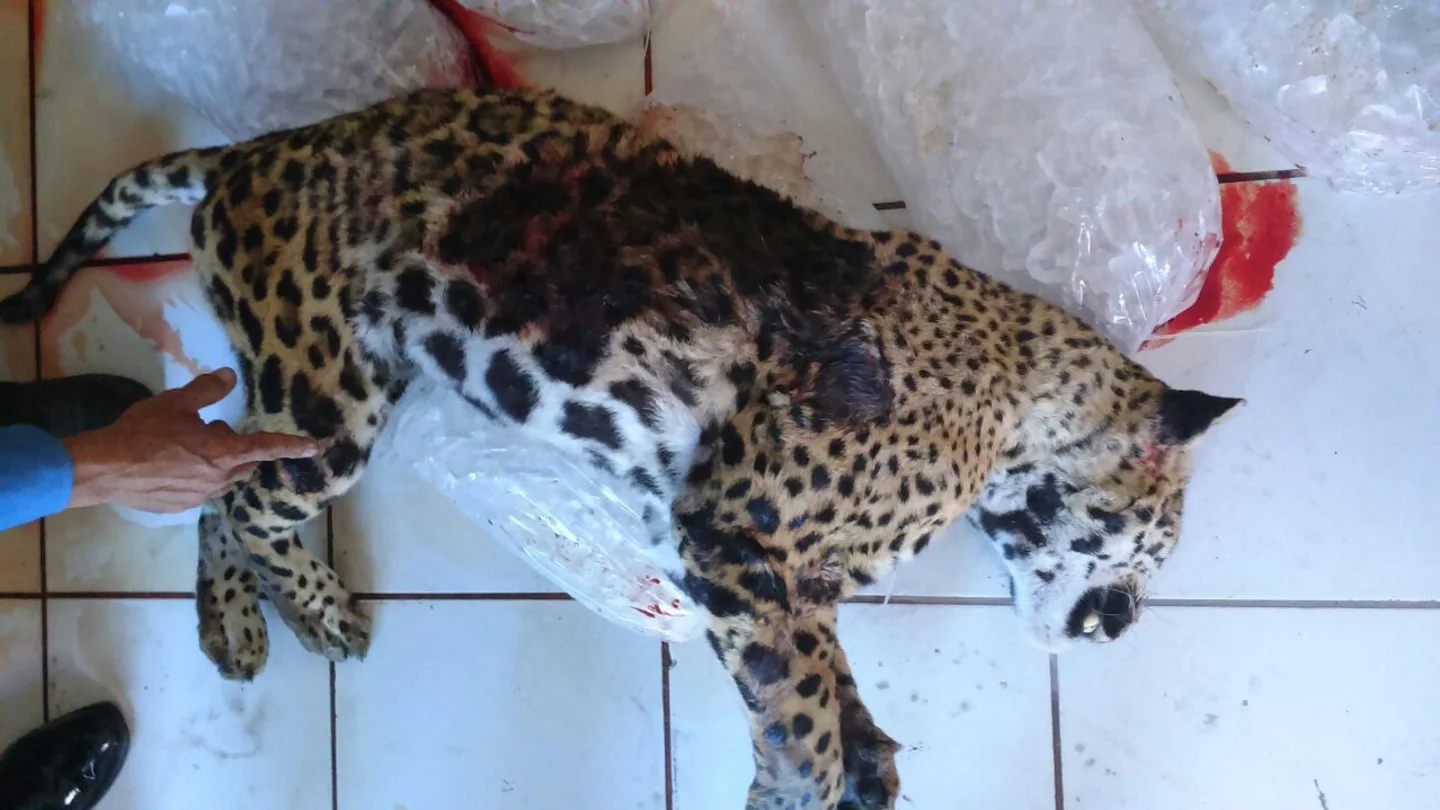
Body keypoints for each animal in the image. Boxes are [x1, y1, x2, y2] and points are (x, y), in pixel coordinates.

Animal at [2, 86, 1238, 810]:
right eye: (1156, 550)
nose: (1124, 627)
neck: (1022, 396)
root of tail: (253, 152)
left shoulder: (777, 570)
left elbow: (822, 668)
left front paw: (867, 750)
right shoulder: (731, 529)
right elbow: (796, 707)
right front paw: (802, 785)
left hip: (307, 379)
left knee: (219, 474)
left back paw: (242, 619)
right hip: (325, 401)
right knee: (250, 495)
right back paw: (304, 603)